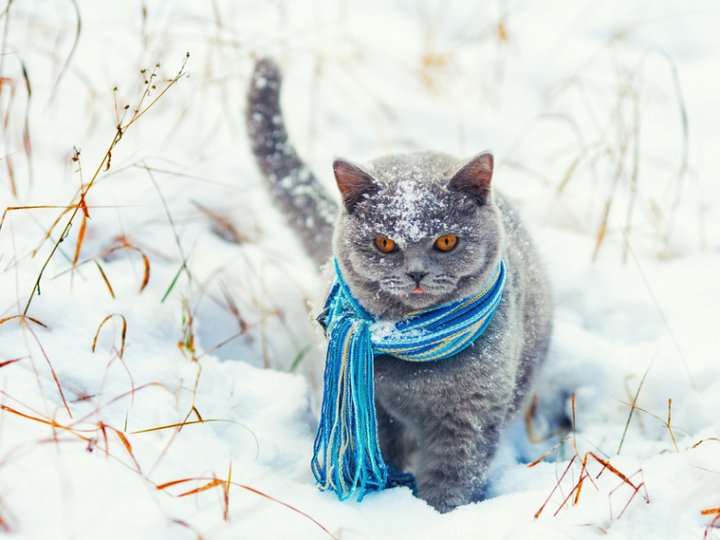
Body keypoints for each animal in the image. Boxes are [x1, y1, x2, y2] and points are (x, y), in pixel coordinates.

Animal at [245, 57, 556, 512]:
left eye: (445, 241)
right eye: (385, 243)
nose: (416, 272)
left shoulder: (471, 414)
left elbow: (455, 473)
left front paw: (443, 513)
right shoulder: (372, 409)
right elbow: (377, 455)